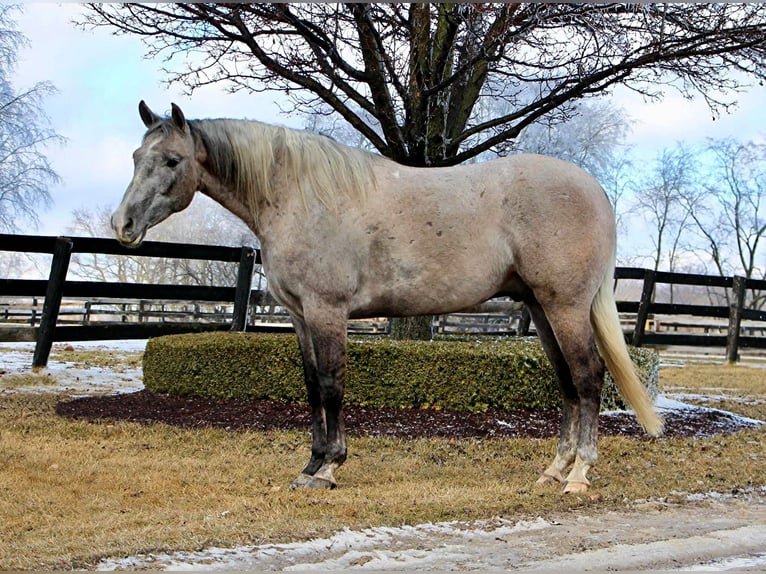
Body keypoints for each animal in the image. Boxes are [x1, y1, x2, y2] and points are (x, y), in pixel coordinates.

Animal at [111, 102, 664, 496]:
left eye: (172, 160)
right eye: (136, 158)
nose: (123, 225)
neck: (300, 196)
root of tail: (593, 190)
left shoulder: (327, 311)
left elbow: (331, 385)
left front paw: (329, 469)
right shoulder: (299, 316)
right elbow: (311, 387)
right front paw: (310, 463)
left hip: (565, 306)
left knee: (588, 378)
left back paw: (579, 475)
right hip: (541, 308)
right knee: (568, 383)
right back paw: (553, 470)